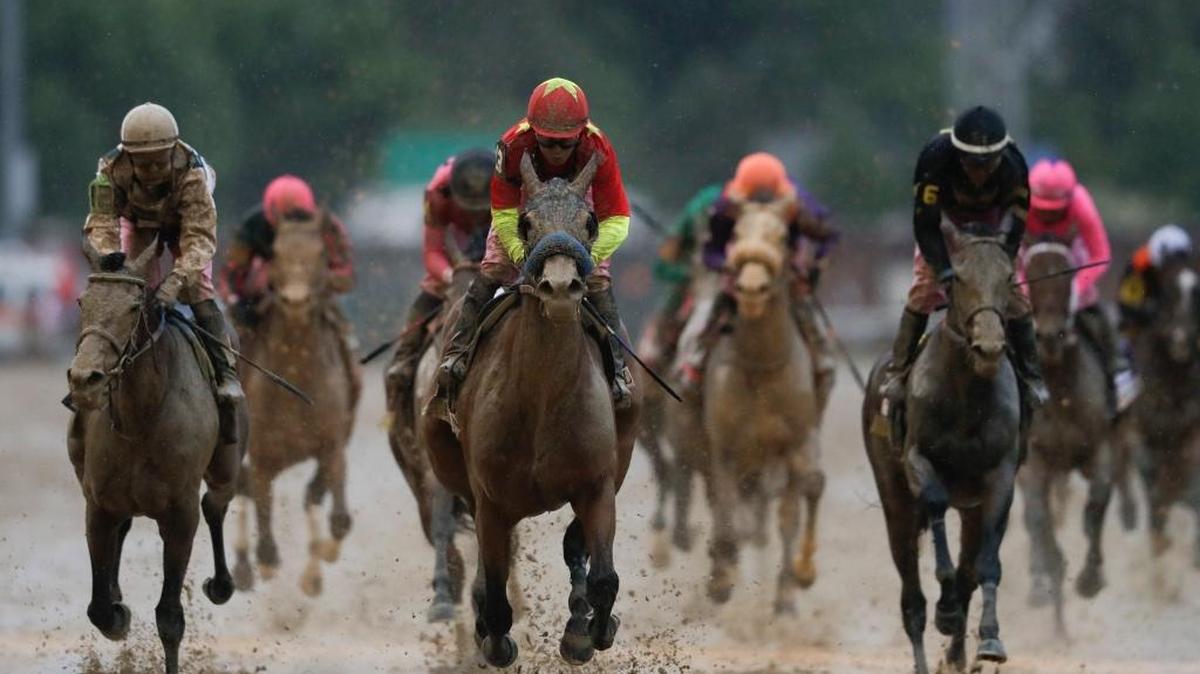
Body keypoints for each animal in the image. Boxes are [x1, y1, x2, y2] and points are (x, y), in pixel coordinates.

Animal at [66, 240, 245, 674]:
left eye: (133, 307)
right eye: (82, 301)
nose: (84, 379)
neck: (141, 417)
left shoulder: (179, 513)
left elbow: (169, 616)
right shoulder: (99, 503)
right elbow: (99, 608)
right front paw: (117, 613)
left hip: (226, 465)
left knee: (215, 504)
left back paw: (221, 584)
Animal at [231, 212, 360, 596]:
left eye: (321, 253)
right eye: (274, 254)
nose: (296, 300)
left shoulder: (332, 444)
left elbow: (335, 514)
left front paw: (321, 560)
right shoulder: (262, 454)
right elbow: (259, 503)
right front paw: (265, 560)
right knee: (240, 487)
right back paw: (243, 568)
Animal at [421, 152, 642, 668]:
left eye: (590, 221)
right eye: (524, 221)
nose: (560, 285)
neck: (542, 400)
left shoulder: (598, 485)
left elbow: (603, 576)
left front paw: (588, 633)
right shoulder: (490, 500)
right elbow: (494, 589)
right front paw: (495, 641)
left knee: (574, 548)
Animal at [701, 198, 824, 613]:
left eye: (784, 237)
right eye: (735, 232)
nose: (752, 288)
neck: (761, 366)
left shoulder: (795, 442)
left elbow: (792, 510)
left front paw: (792, 586)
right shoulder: (724, 446)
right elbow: (724, 508)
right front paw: (720, 579)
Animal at [862, 222, 1022, 674]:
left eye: (1009, 278)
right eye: (958, 279)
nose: (989, 345)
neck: (968, 395)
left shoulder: (999, 477)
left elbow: (984, 565)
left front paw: (989, 639)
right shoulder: (917, 457)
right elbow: (934, 501)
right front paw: (945, 604)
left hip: (969, 509)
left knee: (967, 571)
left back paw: (956, 651)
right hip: (895, 503)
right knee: (911, 599)